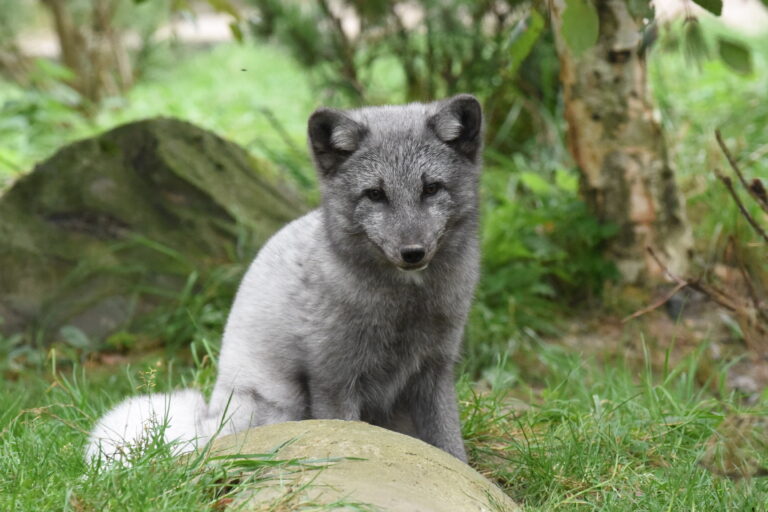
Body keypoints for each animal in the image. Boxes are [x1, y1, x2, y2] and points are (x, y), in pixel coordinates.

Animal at [87, 93, 484, 464]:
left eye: (431, 188)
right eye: (375, 194)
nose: (412, 252)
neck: (406, 307)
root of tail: (210, 422)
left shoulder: (435, 371)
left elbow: (449, 444)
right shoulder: (334, 381)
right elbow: (353, 432)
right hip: (282, 401)